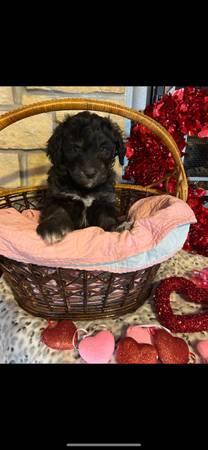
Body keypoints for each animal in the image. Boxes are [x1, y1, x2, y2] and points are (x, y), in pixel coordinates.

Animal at [36, 110, 125, 243]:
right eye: (75, 148)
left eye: (103, 148)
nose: (90, 173)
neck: (85, 189)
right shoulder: (58, 196)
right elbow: (58, 210)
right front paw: (52, 228)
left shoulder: (104, 200)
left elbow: (107, 217)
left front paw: (115, 228)